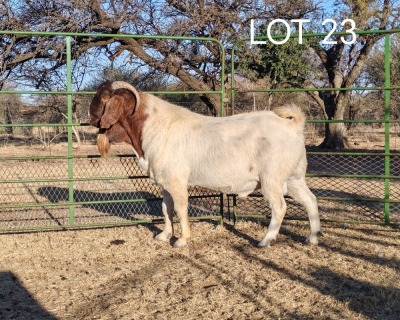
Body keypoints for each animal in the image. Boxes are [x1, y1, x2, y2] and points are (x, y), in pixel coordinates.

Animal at [89, 80, 320, 248]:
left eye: (103, 97)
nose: (90, 118)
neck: (152, 125)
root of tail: (293, 126)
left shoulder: (176, 181)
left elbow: (180, 208)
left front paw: (182, 240)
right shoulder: (165, 183)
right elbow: (166, 208)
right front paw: (164, 235)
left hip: (272, 177)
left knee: (279, 207)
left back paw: (265, 240)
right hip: (294, 177)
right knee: (310, 200)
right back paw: (313, 237)